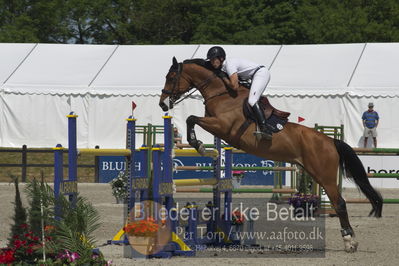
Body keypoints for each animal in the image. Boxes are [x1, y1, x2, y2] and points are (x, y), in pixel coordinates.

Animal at [159, 56, 384, 254]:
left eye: (171, 76)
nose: (162, 104)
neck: (221, 94)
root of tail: (330, 141)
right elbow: (192, 119)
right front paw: (201, 146)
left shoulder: (222, 126)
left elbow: (190, 118)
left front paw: (198, 145)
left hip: (324, 175)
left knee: (340, 204)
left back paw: (350, 242)